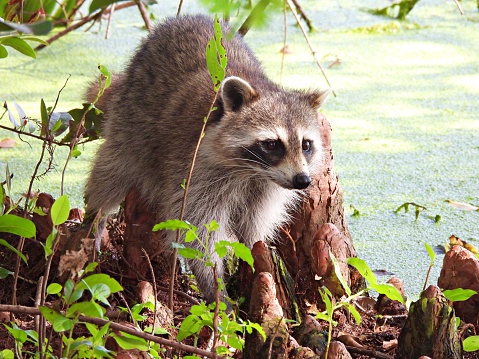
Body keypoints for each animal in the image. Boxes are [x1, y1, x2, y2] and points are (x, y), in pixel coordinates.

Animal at [86, 14, 330, 302]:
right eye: (272, 145)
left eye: (306, 144)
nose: (302, 180)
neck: (252, 172)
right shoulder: (195, 169)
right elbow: (196, 230)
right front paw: (216, 289)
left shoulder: (266, 188)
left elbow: (254, 225)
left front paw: (257, 256)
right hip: (130, 118)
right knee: (112, 170)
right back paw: (94, 220)